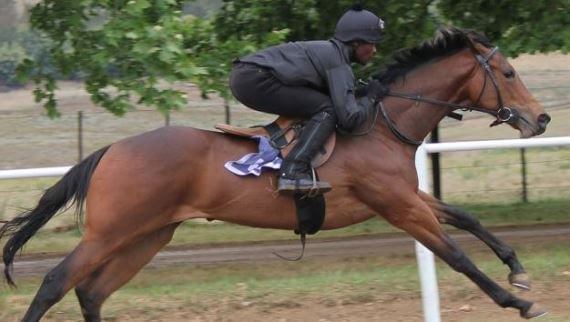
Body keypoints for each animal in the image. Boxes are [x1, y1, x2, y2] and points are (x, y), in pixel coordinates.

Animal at [1, 27, 552, 320]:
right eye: (508, 74)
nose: (541, 118)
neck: (380, 124)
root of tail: (112, 149)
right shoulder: (397, 206)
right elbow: (456, 254)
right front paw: (515, 300)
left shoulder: (409, 196)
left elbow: (467, 219)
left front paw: (518, 271)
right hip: (113, 230)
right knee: (55, 281)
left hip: (149, 234)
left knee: (91, 291)